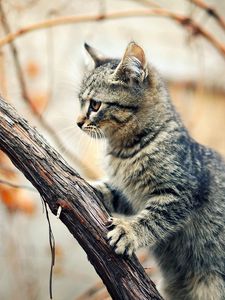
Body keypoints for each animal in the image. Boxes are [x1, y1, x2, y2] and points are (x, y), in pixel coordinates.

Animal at [76, 42, 225, 300]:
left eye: (95, 105)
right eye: (80, 102)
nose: (77, 122)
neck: (124, 150)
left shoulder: (181, 192)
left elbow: (154, 218)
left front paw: (129, 232)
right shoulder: (130, 194)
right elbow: (115, 191)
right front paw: (95, 187)